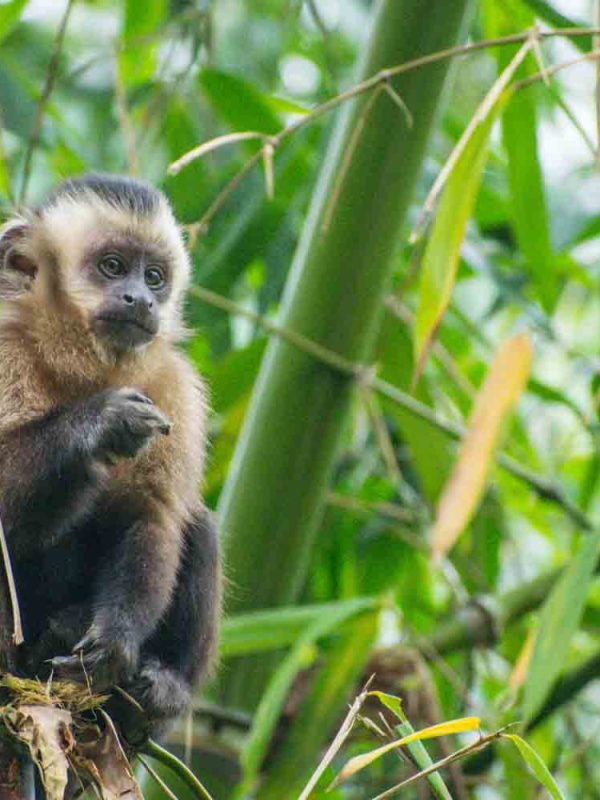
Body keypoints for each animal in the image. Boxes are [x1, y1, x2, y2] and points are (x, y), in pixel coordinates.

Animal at [0, 173, 220, 744]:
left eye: (155, 277)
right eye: (114, 266)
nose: (140, 299)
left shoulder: (172, 385)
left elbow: (151, 514)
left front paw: (114, 638)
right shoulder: (4, 350)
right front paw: (101, 422)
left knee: (196, 521)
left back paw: (156, 695)